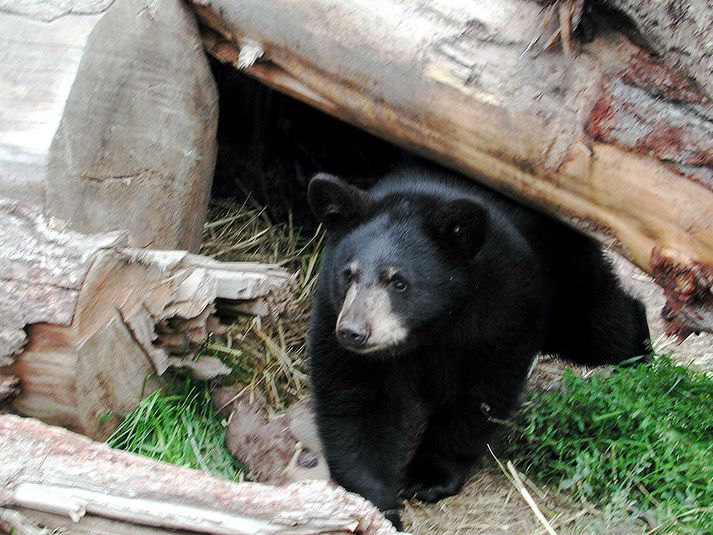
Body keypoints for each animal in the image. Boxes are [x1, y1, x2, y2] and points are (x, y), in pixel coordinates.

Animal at [304, 164, 648, 532]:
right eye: (348, 274)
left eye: (399, 281)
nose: (354, 332)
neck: (429, 329)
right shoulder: (332, 314)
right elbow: (355, 404)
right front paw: (375, 507)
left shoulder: (502, 304)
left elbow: (481, 394)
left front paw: (427, 477)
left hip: (566, 269)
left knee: (597, 326)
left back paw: (642, 357)